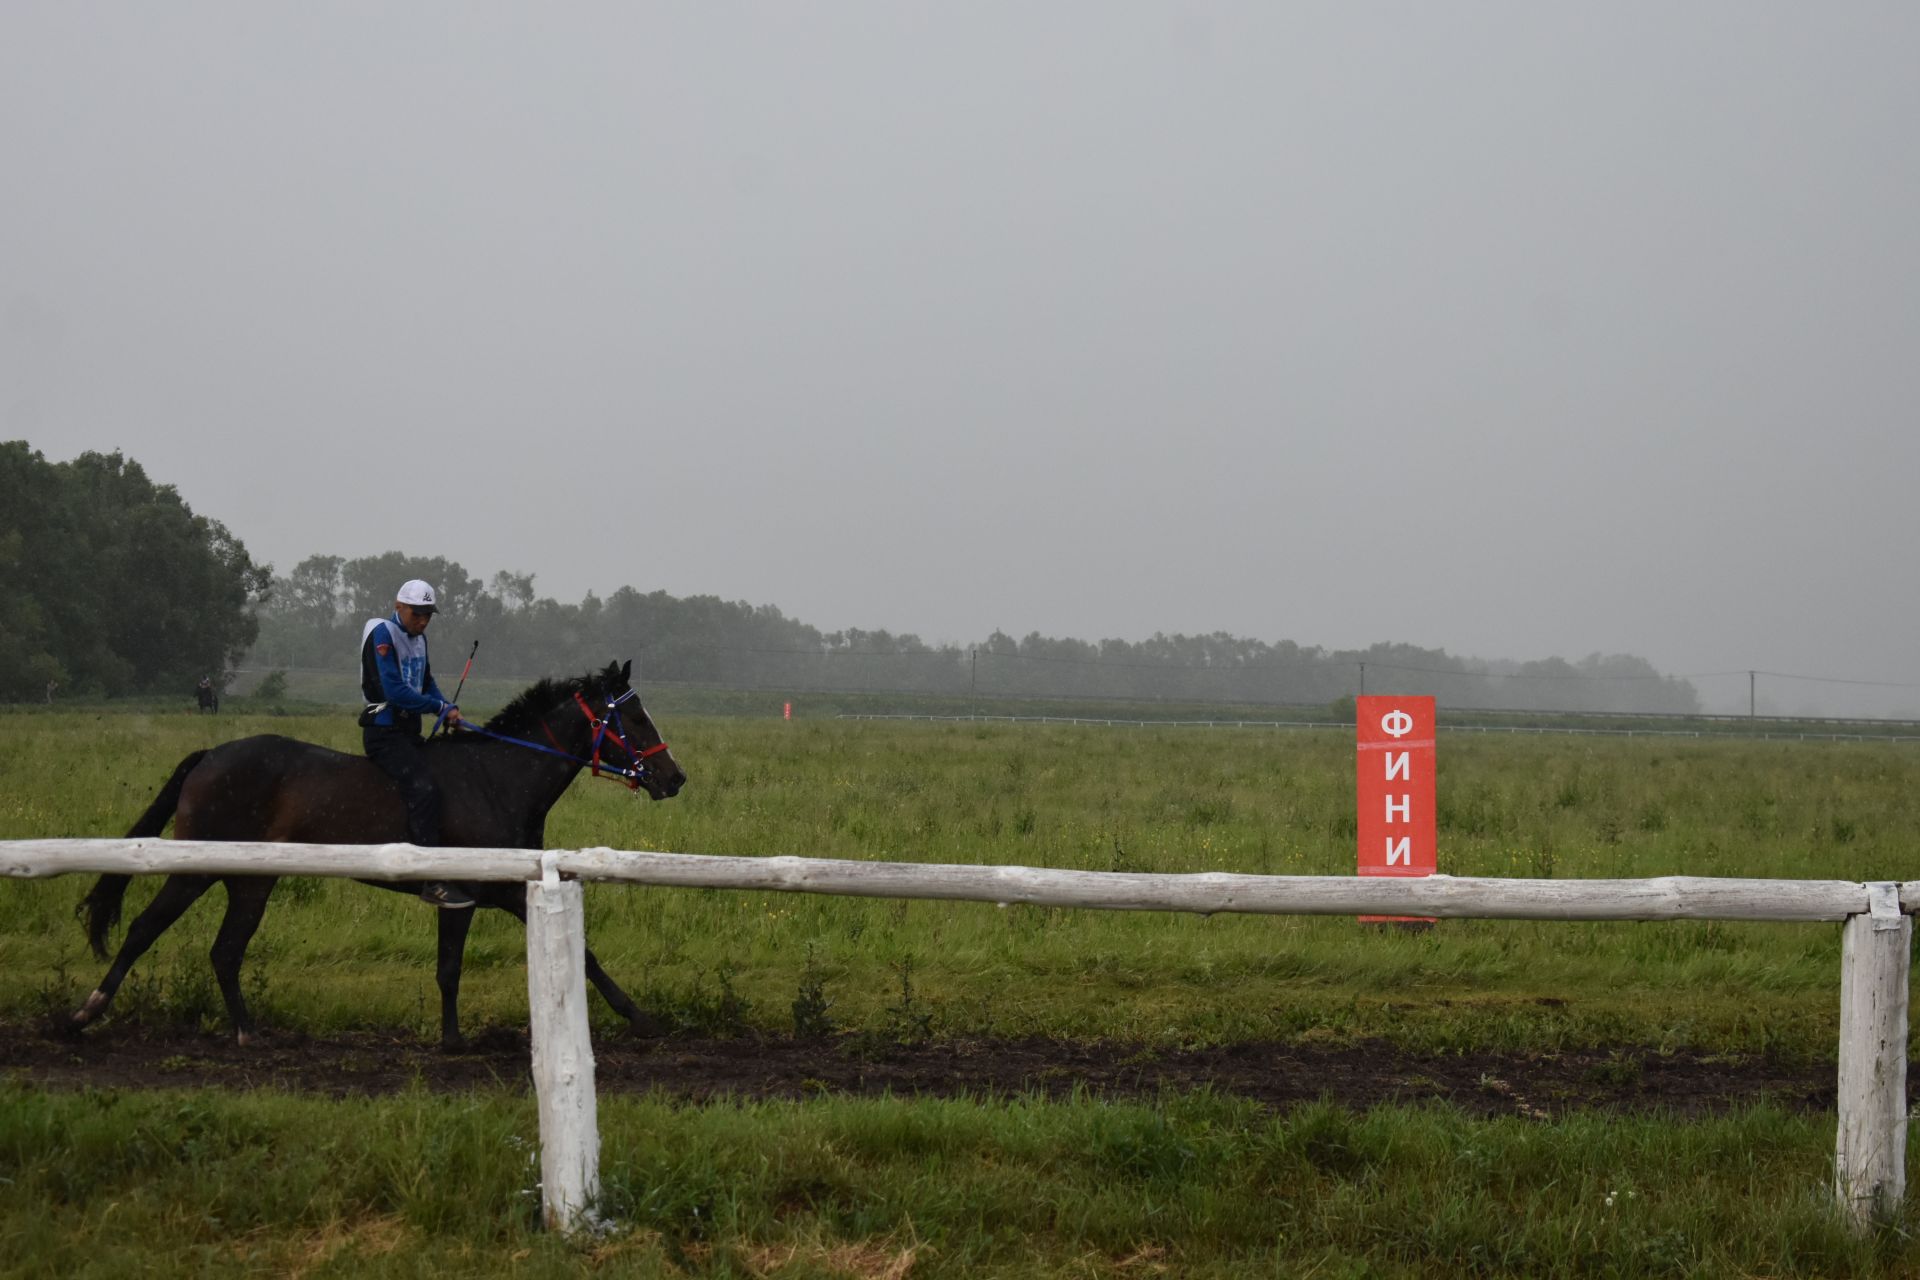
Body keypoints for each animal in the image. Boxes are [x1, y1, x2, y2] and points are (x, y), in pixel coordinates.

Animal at [71, 660, 687, 1051]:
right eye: (634, 716)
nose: (674, 777)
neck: (499, 777)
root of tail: (210, 754)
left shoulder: (500, 892)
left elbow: (472, 966)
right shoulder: (486, 890)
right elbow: (548, 959)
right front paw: (640, 1017)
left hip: (252, 880)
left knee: (224, 951)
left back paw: (248, 1030)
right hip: (199, 866)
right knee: (146, 928)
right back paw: (88, 1010)